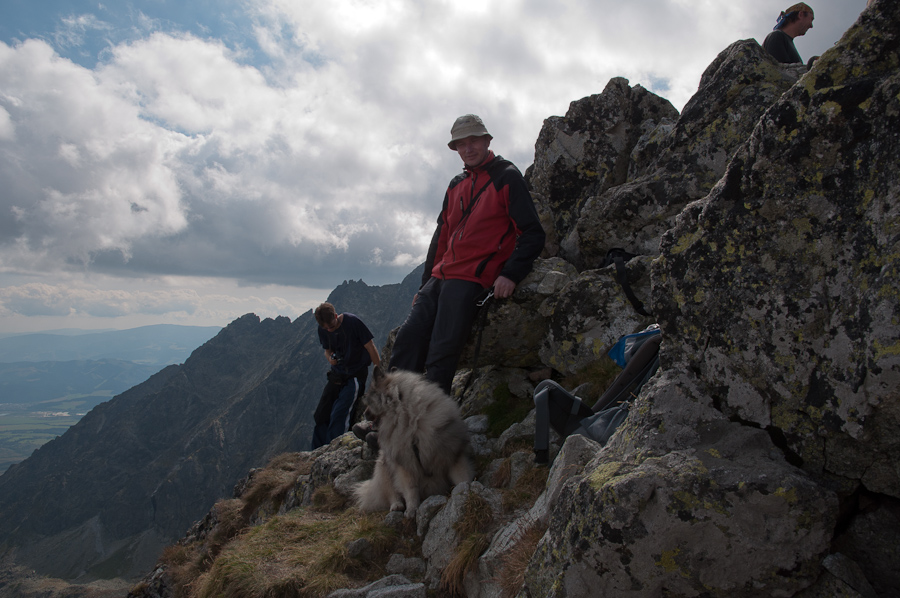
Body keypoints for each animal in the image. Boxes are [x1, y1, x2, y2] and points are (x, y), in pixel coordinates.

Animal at [354, 366, 474, 520]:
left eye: (368, 404)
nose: (364, 414)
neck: (410, 421)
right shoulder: (405, 464)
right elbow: (410, 489)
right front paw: (412, 510)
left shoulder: (452, 453)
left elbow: (462, 477)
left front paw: (468, 490)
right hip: (384, 468)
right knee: (391, 492)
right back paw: (397, 505)